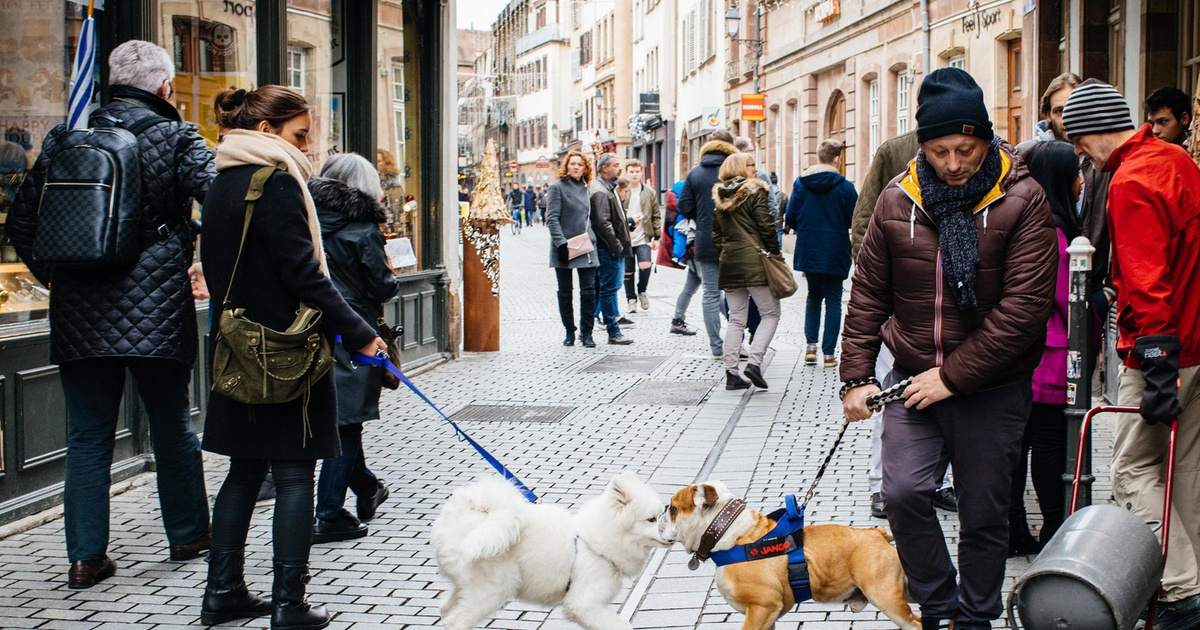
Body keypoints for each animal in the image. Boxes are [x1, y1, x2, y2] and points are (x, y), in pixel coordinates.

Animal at [432, 470, 676, 628]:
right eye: (651, 519)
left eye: (663, 513)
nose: (674, 536)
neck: (596, 541)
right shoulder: (583, 603)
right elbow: (621, 626)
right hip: (491, 591)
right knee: (455, 622)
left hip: (468, 589)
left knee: (444, 610)